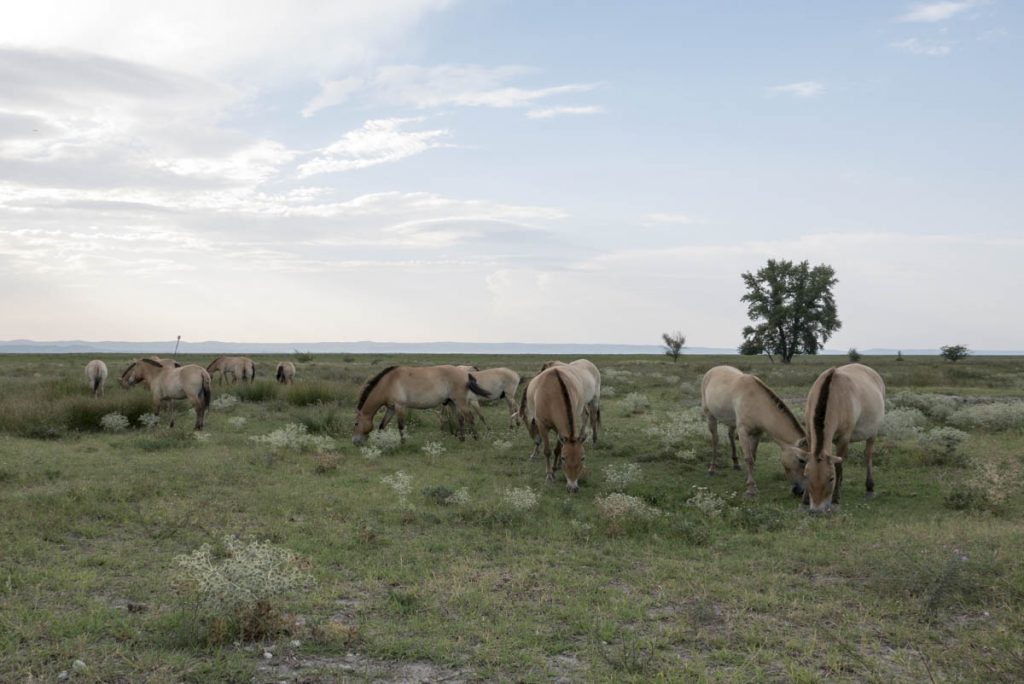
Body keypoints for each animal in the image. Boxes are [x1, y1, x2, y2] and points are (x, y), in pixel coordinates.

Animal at [351, 365, 490, 445]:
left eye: (356, 424)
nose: (355, 442)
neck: (389, 382)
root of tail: (465, 373)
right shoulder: (391, 408)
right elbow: (382, 425)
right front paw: (379, 440)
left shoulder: (400, 407)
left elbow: (401, 426)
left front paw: (403, 443)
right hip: (452, 402)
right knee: (460, 419)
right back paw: (462, 439)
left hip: (461, 402)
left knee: (470, 418)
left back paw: (476, 439)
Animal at [701, 365, 809, 497]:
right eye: (801, 460)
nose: (800, 491)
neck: (756, 402)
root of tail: (712, 370)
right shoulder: (743, 432)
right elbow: (749, 458)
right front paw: (751, 489)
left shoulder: (757, 433)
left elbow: (753, 455)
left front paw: (748, 479)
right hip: (710, 416)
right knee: (715, 440)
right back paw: (712, 469)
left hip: (731, 421)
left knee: (730, 435)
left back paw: (736, 464)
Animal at [803, 363, 886, 513]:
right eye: (807, 477)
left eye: (831, 479)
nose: (817, 511)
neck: (833, 395)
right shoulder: (810, 436)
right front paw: (805, 500)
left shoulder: (843, 439)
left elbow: (839, 468)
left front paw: (835, 499)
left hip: (873, 433)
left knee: (868, 455)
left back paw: (869, 487)